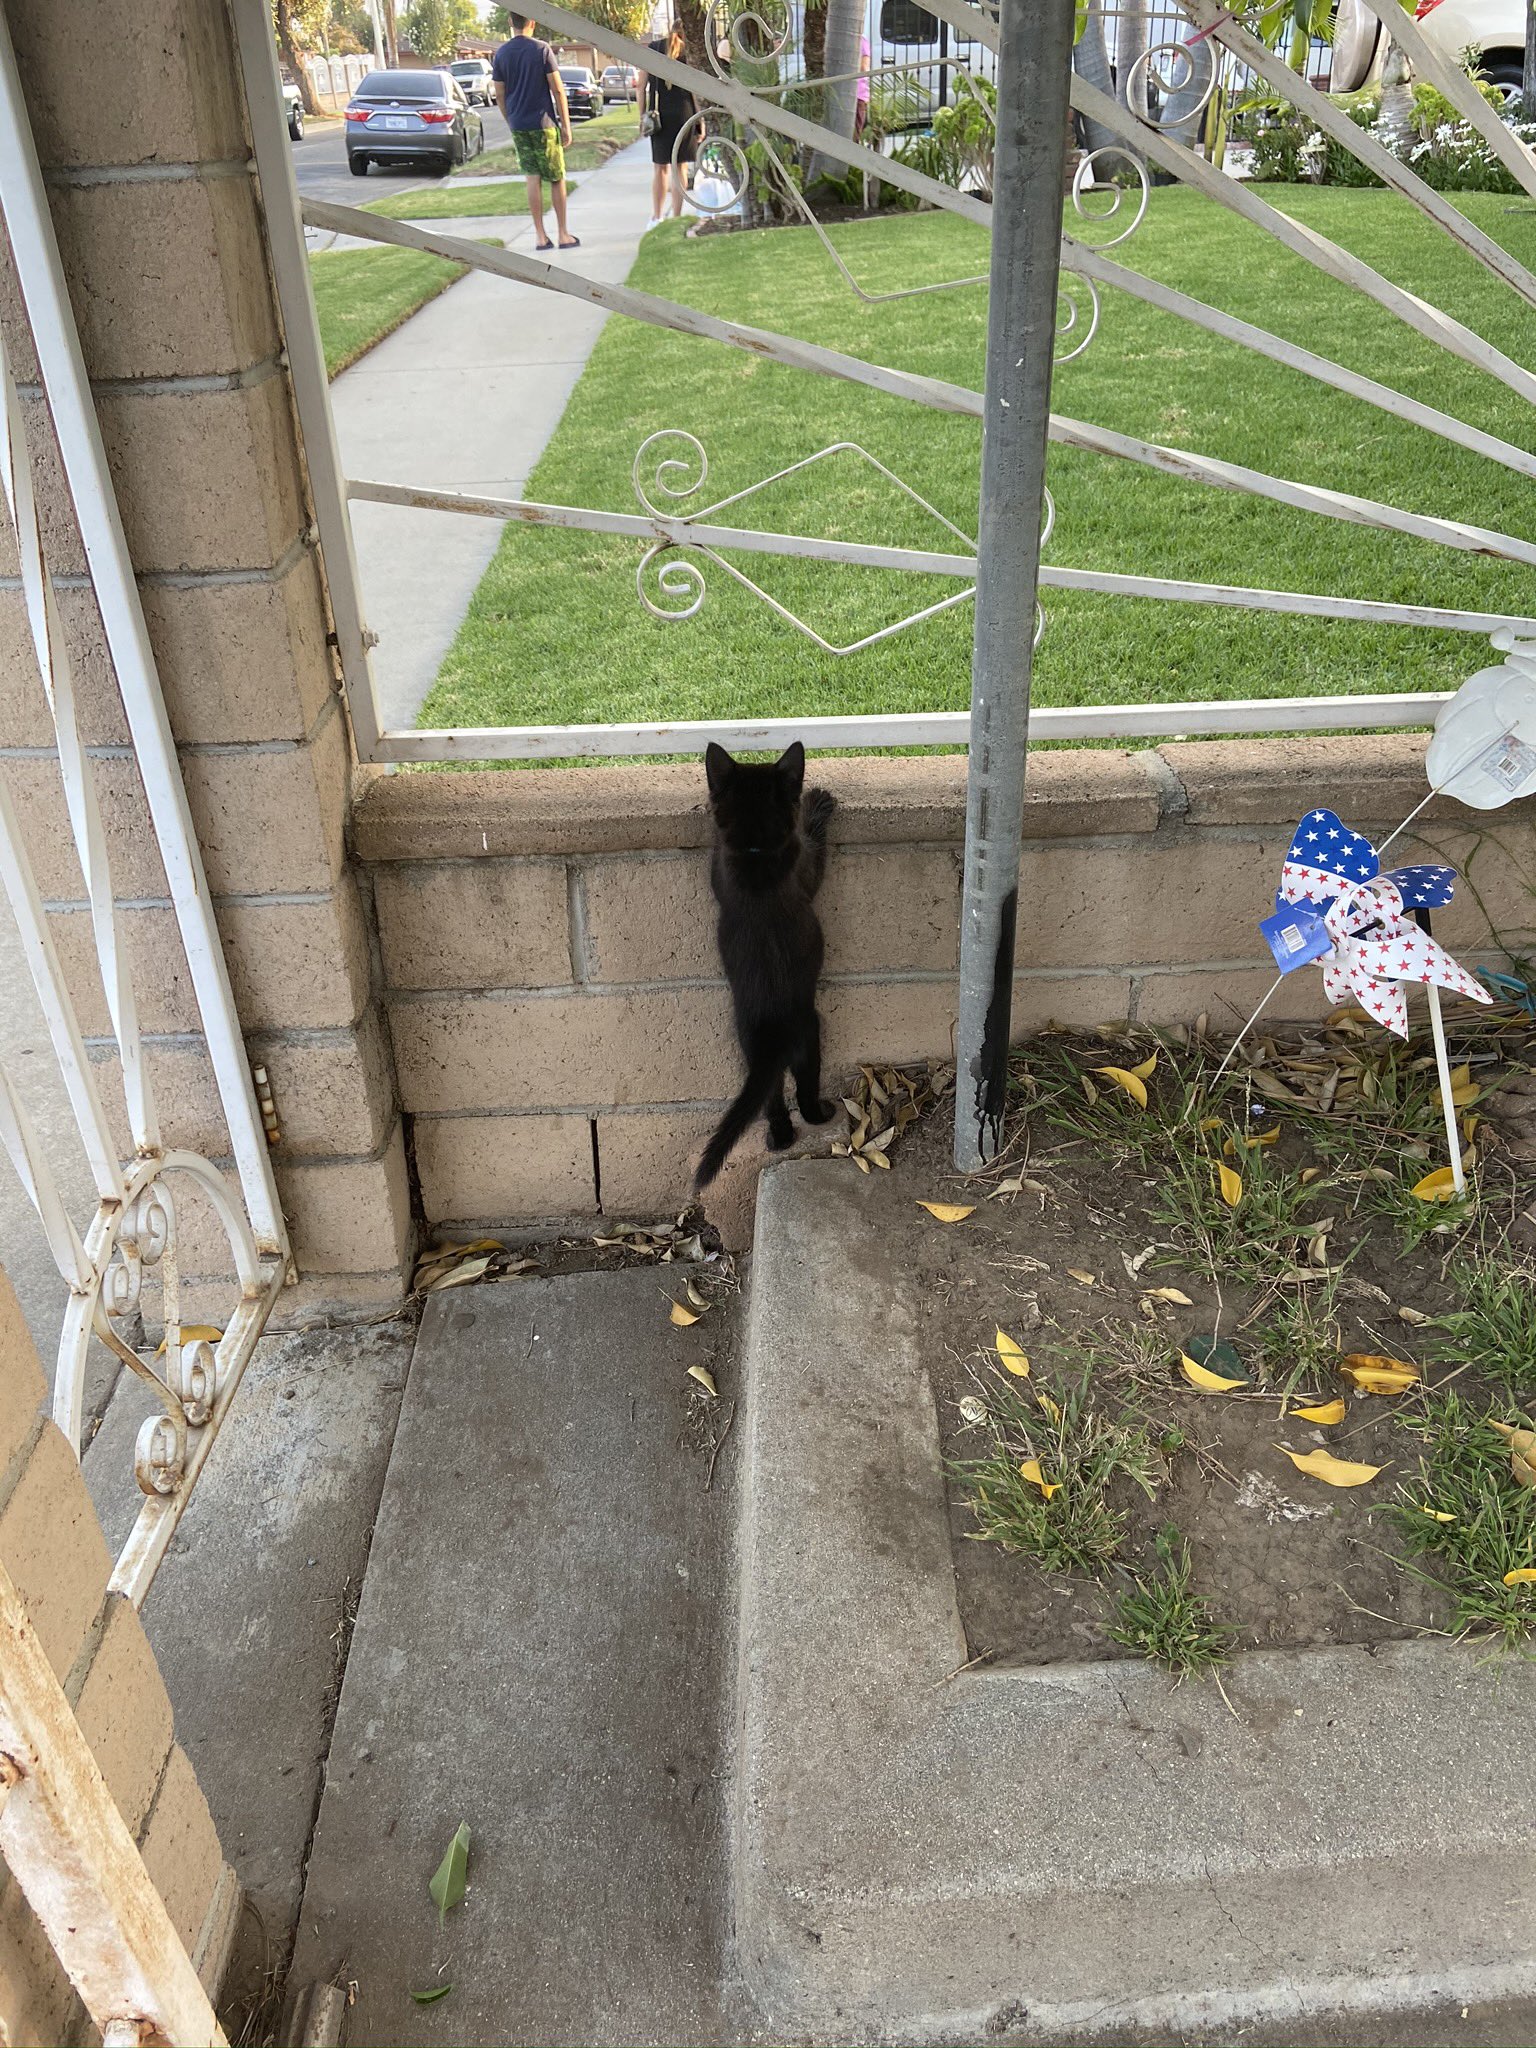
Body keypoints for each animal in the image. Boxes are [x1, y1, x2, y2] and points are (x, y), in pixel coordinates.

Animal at [696, 741, 843, 1196]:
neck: (754, 850)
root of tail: (774, 1037)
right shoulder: (807, 864)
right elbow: (813, 841)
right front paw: (818, 802)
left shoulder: (719, 869)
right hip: (810, 1037)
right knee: (805, 1095)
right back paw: (820, 1114)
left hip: (750, 1051)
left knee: (772, 1101)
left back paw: (778, 1138)